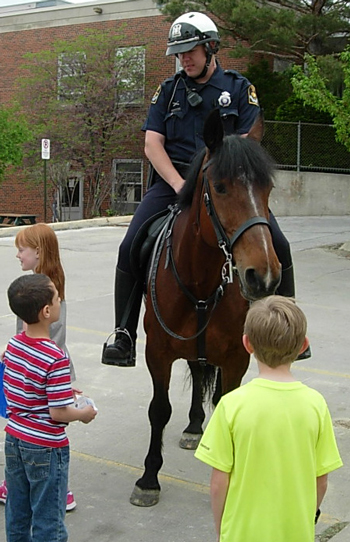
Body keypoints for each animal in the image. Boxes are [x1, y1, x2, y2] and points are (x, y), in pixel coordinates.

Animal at [130, 109, 280, 510]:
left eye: (268, 189)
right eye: (221, 187)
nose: (262, 275)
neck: (199, 281)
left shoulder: (235, 358)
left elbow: (227, 403)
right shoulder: (157, 352)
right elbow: (159, 409)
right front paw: (149, 479)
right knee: (198, 372)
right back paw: (195, 425)